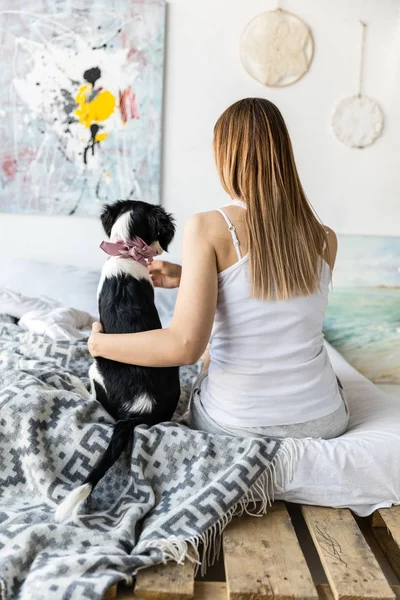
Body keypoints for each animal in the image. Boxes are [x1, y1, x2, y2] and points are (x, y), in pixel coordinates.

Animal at [55, 202, 180, 520]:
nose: (157, 252)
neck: (125, 250)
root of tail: (140, 409)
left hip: (97, 367)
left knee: (94, 398)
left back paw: (73, 382)